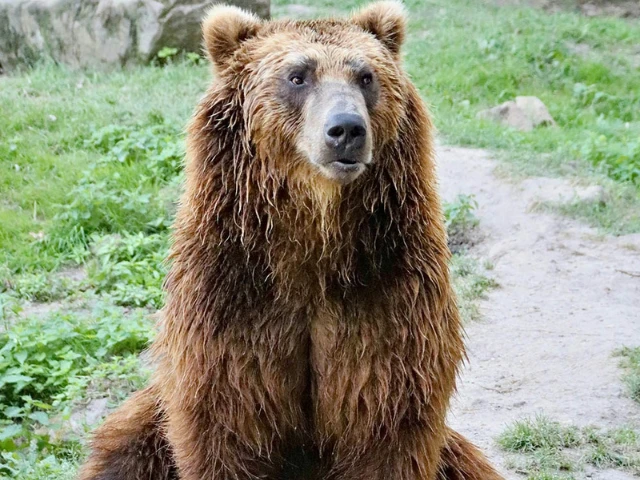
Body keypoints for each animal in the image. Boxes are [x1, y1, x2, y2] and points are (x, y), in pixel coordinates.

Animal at [77, 2, 504, 479]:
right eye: (298, 76)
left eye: (365, 76)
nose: (346, 129)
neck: (313, 241)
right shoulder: (232, 300)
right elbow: (226, 422)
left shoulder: (387, 292)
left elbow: (386, 423)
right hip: (151, 418)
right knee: (126, 445)